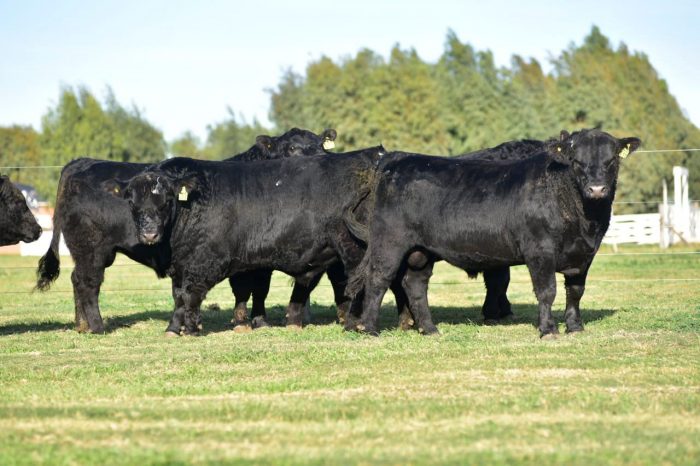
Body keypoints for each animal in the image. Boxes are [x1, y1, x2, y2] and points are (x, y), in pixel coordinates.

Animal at [36, 128, 336, 333]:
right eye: (293, 148)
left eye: (321, 145)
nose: (322, 161)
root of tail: (81, 162)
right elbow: (247, 288)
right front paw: (248, 322)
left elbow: (253, 289)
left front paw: (250, 321)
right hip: (92, 248)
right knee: (88, 282)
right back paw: (97, 326)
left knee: (76, 280)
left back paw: (82, 325)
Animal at [106, 148, 383, 335]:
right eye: (132, 202)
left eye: (165, 201)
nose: (149, 234)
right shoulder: (181, 265)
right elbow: (178, 296)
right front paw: (173, 328)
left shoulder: (205, 262)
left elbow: (190, 295)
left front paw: (192, 329)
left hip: (354, 248)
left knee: (361, 281)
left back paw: (357, 323)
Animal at [345, 129, 641, 338]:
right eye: (576, 161)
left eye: (611, 160)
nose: (597, 189)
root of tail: (396, 159)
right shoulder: (539, 250)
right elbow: (547, 290)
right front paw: (548, 330)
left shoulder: (584, 254)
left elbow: (575, 291)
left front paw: (575, 327)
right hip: (389, 242)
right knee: (378, 279)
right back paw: (369, 328)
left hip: (420, 251)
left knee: (415, 284)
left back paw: (429, 329)